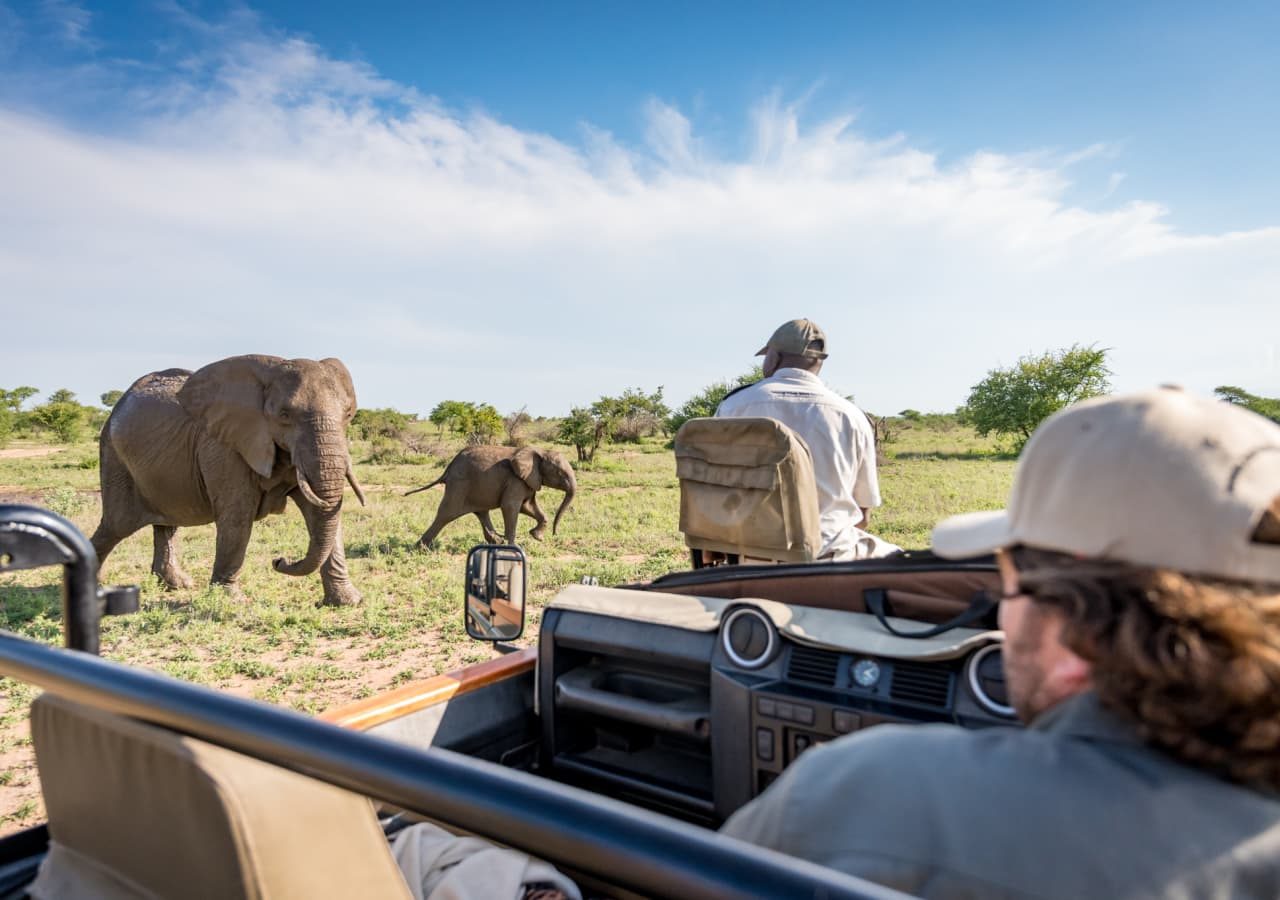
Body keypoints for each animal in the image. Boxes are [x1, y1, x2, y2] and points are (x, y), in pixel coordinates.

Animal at [90, 355, 368, 609]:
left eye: (348, 414)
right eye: (284, 415)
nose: (278, 561)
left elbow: (321, 513)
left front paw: (347, 602)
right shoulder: (223, 447)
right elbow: (238, 515)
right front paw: (230, 601)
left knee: (166, 523)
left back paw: (178, 585)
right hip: (115, 457)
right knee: (117, 525)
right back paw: (93, 586)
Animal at [407, 445, 578, 547]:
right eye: (560, 473)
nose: (555, 535)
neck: (541, 452)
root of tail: (448, 468)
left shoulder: (528, 480)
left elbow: (528, 506)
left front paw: (537, 536)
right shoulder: (516, 480)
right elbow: (510, 506)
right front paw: (513, 547)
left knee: (481, 512)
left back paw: (496, 541)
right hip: (459, 485)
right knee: (446, 514)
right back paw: (420, 548)